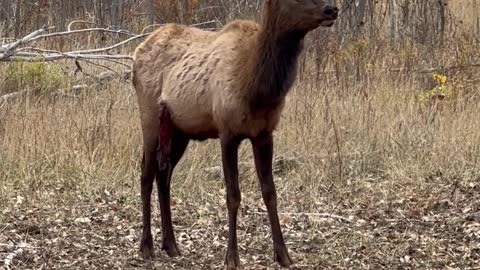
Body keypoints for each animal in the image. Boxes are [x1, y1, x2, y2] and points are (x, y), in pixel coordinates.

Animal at [132, 0, 338, 268]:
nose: (331, 9)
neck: (258, 88)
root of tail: (136, 52)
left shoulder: (264, 133)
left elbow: (270, 192)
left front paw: (283, 254)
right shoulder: (227, 133)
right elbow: (233, 195)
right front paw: (232, 257)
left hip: (178, 129)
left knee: (163, 173)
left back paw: (171, 245)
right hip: (149, 119)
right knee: (146, 173)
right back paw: (146, 246)